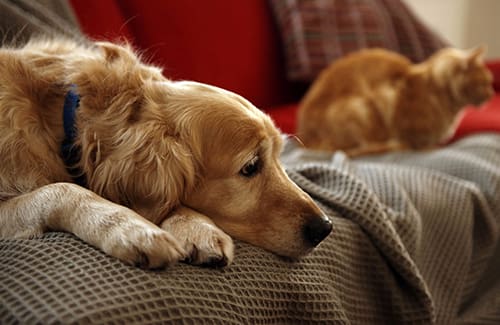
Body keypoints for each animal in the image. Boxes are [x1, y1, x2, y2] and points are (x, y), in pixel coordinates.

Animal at [0, 38, 332, 266]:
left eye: (279, 155)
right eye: (250, 167)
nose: (325, 228)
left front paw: (197, 228)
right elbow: (63, 190)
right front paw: (132, 229)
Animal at [298, 46, 494, 156]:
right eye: (485, 83)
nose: (491, 94)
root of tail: (306, 138)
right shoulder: (391, 99)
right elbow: (416, 141)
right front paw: (427, 147)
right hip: (360, 108)